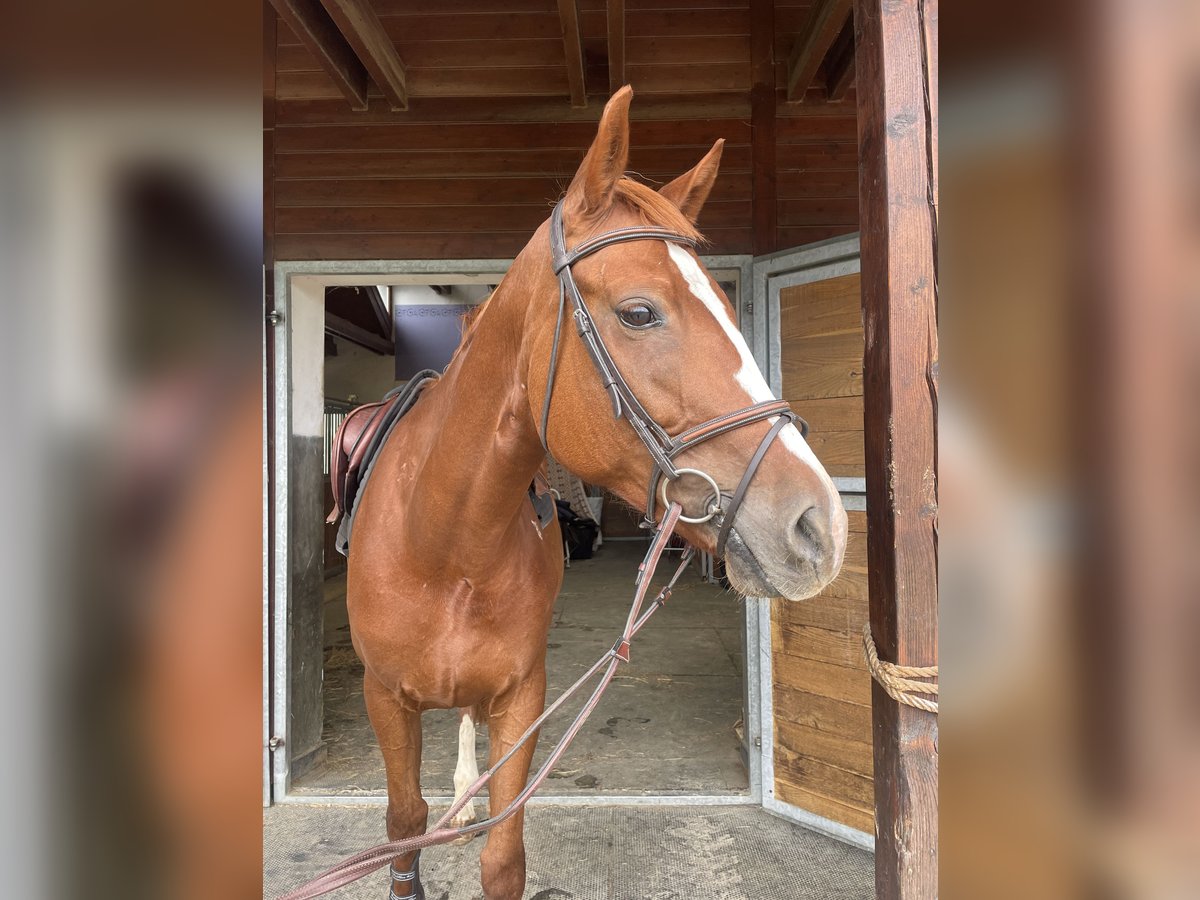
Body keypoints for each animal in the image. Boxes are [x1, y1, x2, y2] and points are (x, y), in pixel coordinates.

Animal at [343, 86, 849, 900]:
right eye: (639, 311)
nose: (820, 526)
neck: (445, 546)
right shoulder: (385, 699)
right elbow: (404, 829)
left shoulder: (522, 697)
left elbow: (502, 855)